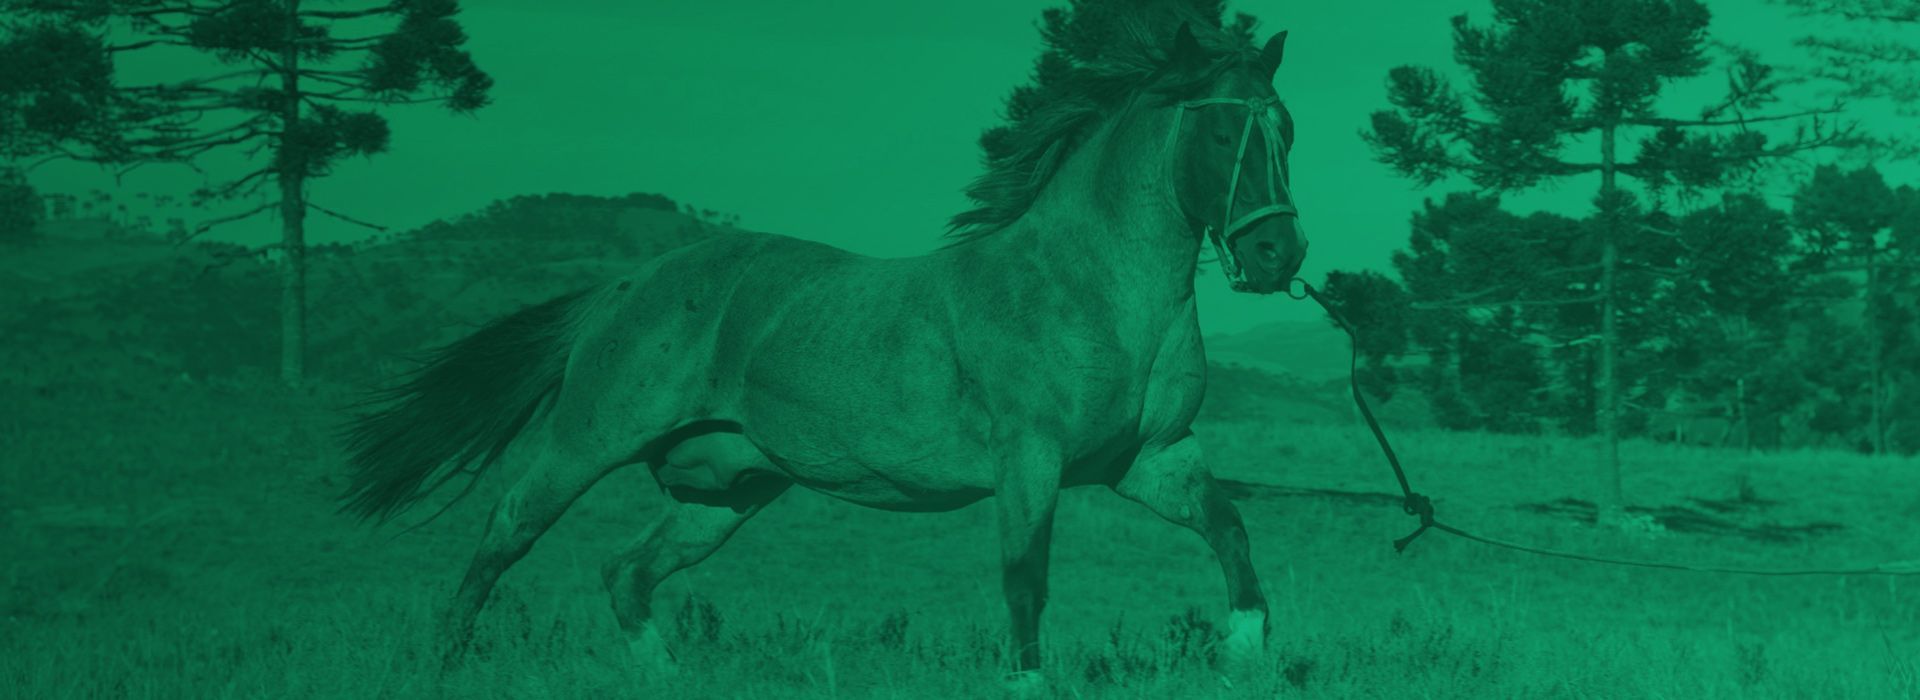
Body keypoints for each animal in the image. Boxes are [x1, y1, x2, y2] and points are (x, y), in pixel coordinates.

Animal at [340, 16, 1306, 692]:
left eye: (1287, 130)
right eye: (1223, 135)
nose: (1278, 256)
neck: (1096, 292)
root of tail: (623, 287)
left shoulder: (1151, 459)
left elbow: (1232, 534)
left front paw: (1244, 657)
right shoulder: (1029, 460)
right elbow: (1025, 578)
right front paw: (1030, 682)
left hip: (725, 488)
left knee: (627, 572)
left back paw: (667, 679)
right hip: (591, 439)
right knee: (508, 532)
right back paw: (445, 663)